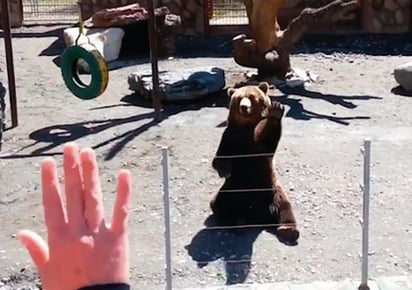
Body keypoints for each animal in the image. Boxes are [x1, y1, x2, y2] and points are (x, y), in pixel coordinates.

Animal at [211, 81, 298, 245]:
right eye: (239, 98)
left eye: (252, 97)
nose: (244, 107)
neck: (247, 127)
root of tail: (257, 216)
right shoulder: (230, 137)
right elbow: (220, 157)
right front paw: (225, 170)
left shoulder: (259, 143)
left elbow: (269, 138)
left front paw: (276, 110)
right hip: (233, 191)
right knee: (219, 204)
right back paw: (237, 223)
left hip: (271, 189)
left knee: (284, 206)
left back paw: (288, 230)